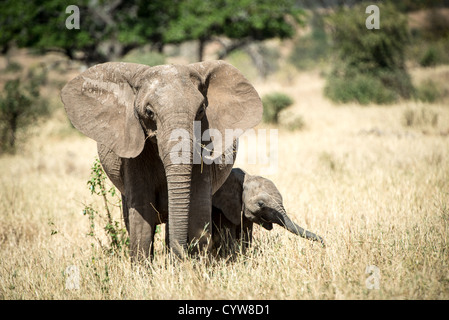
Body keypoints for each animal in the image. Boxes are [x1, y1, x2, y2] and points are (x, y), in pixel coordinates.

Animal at [61, 60, 260, 260]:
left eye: (201, 111)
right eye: (149, 112)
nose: (180, 257)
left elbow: (197, 208)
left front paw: (194, 264)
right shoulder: (133, 154)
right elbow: (142, 212)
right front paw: (143, 267)